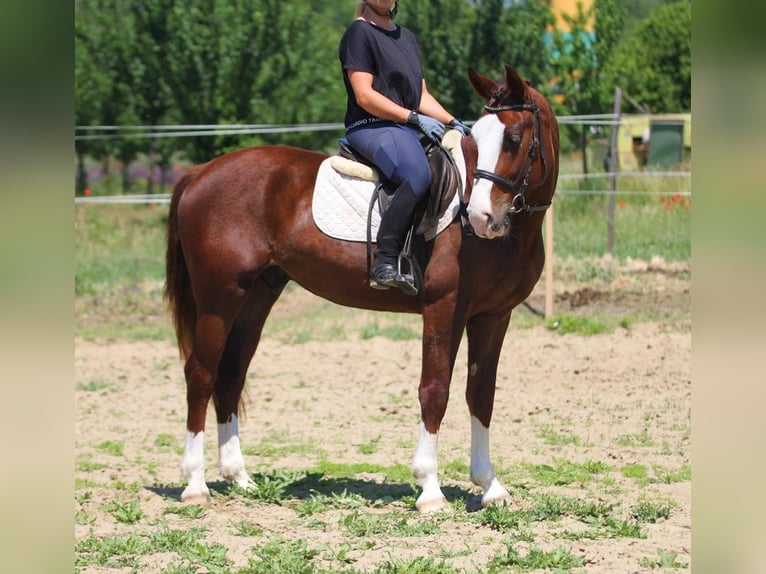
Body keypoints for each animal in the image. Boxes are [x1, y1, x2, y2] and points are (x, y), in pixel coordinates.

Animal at [168, 66, 560, 512]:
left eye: (513, 139)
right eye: (478, 138)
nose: (479, 217)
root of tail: (200, 173)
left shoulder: (493, 317)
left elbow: (480, 394)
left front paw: (490, 486)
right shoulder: (445, 308)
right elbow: (435, 390)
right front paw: (430, 489)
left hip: (255, 297)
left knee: (230, 374)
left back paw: (240, 478)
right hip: (218, 298)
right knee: (200, 374)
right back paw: (195, 484)